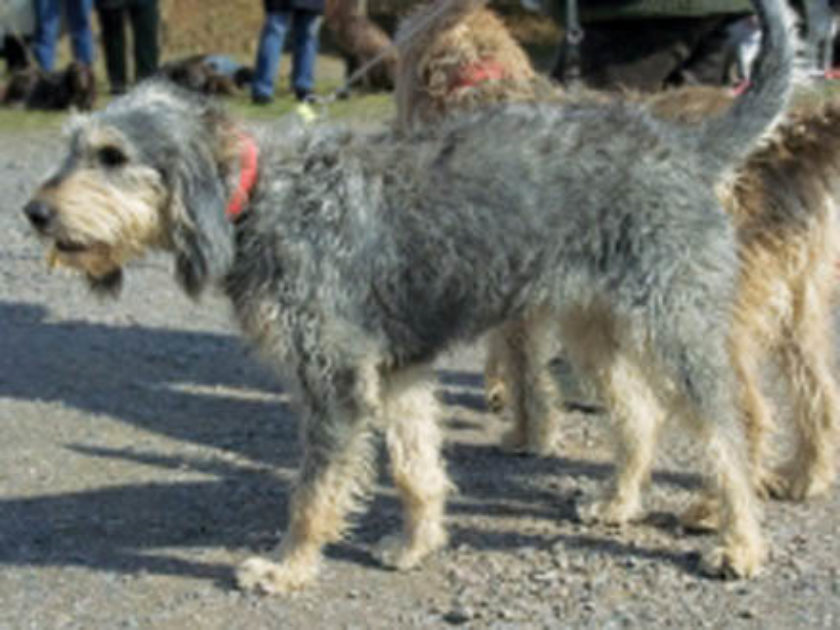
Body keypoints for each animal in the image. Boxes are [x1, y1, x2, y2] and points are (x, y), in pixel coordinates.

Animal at [19, 0, 796, 596]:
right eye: (73, 145)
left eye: (113, 157)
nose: (34, 213)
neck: (261, 199)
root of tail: (681, 146)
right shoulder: (397, 372)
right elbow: (415, 468)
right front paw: (418, 544)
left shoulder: (334, 385)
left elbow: (312, 494)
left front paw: (288, 567)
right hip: (592, 329)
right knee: (638, 415)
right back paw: (619, 499)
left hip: (676, 331)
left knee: (728, 435)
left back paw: (740, 543)